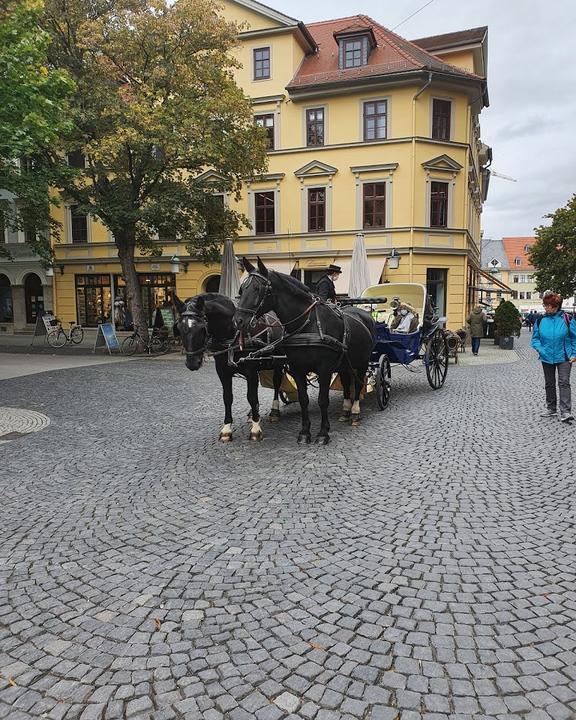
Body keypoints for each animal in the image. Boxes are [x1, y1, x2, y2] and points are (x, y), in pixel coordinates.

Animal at [174, 294, 284, 442]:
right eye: (179, 328)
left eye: (202, 327)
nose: (192, 363)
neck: (232, 332)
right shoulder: (222, 371)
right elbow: (227, 397)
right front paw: (227, 429)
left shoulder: (250, 371)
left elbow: (251, 397)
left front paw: (256, 429)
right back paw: (252, 413)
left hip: (279, 362)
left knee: (277, 383)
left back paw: (274, 411)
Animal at [233, 260, 374, 444]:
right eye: (242, 290)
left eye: (257, 289)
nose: (238, 321)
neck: (308, 324)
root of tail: (365, 314)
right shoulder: (297, 369)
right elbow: (303, 400)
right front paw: (305, 432)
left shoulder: (324, 369)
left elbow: (323, 400)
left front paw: (323, 433)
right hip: (345, 364)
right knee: (346, 383)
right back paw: (345, 411)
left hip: (362, 362)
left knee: (357, 385)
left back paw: (355, 412)